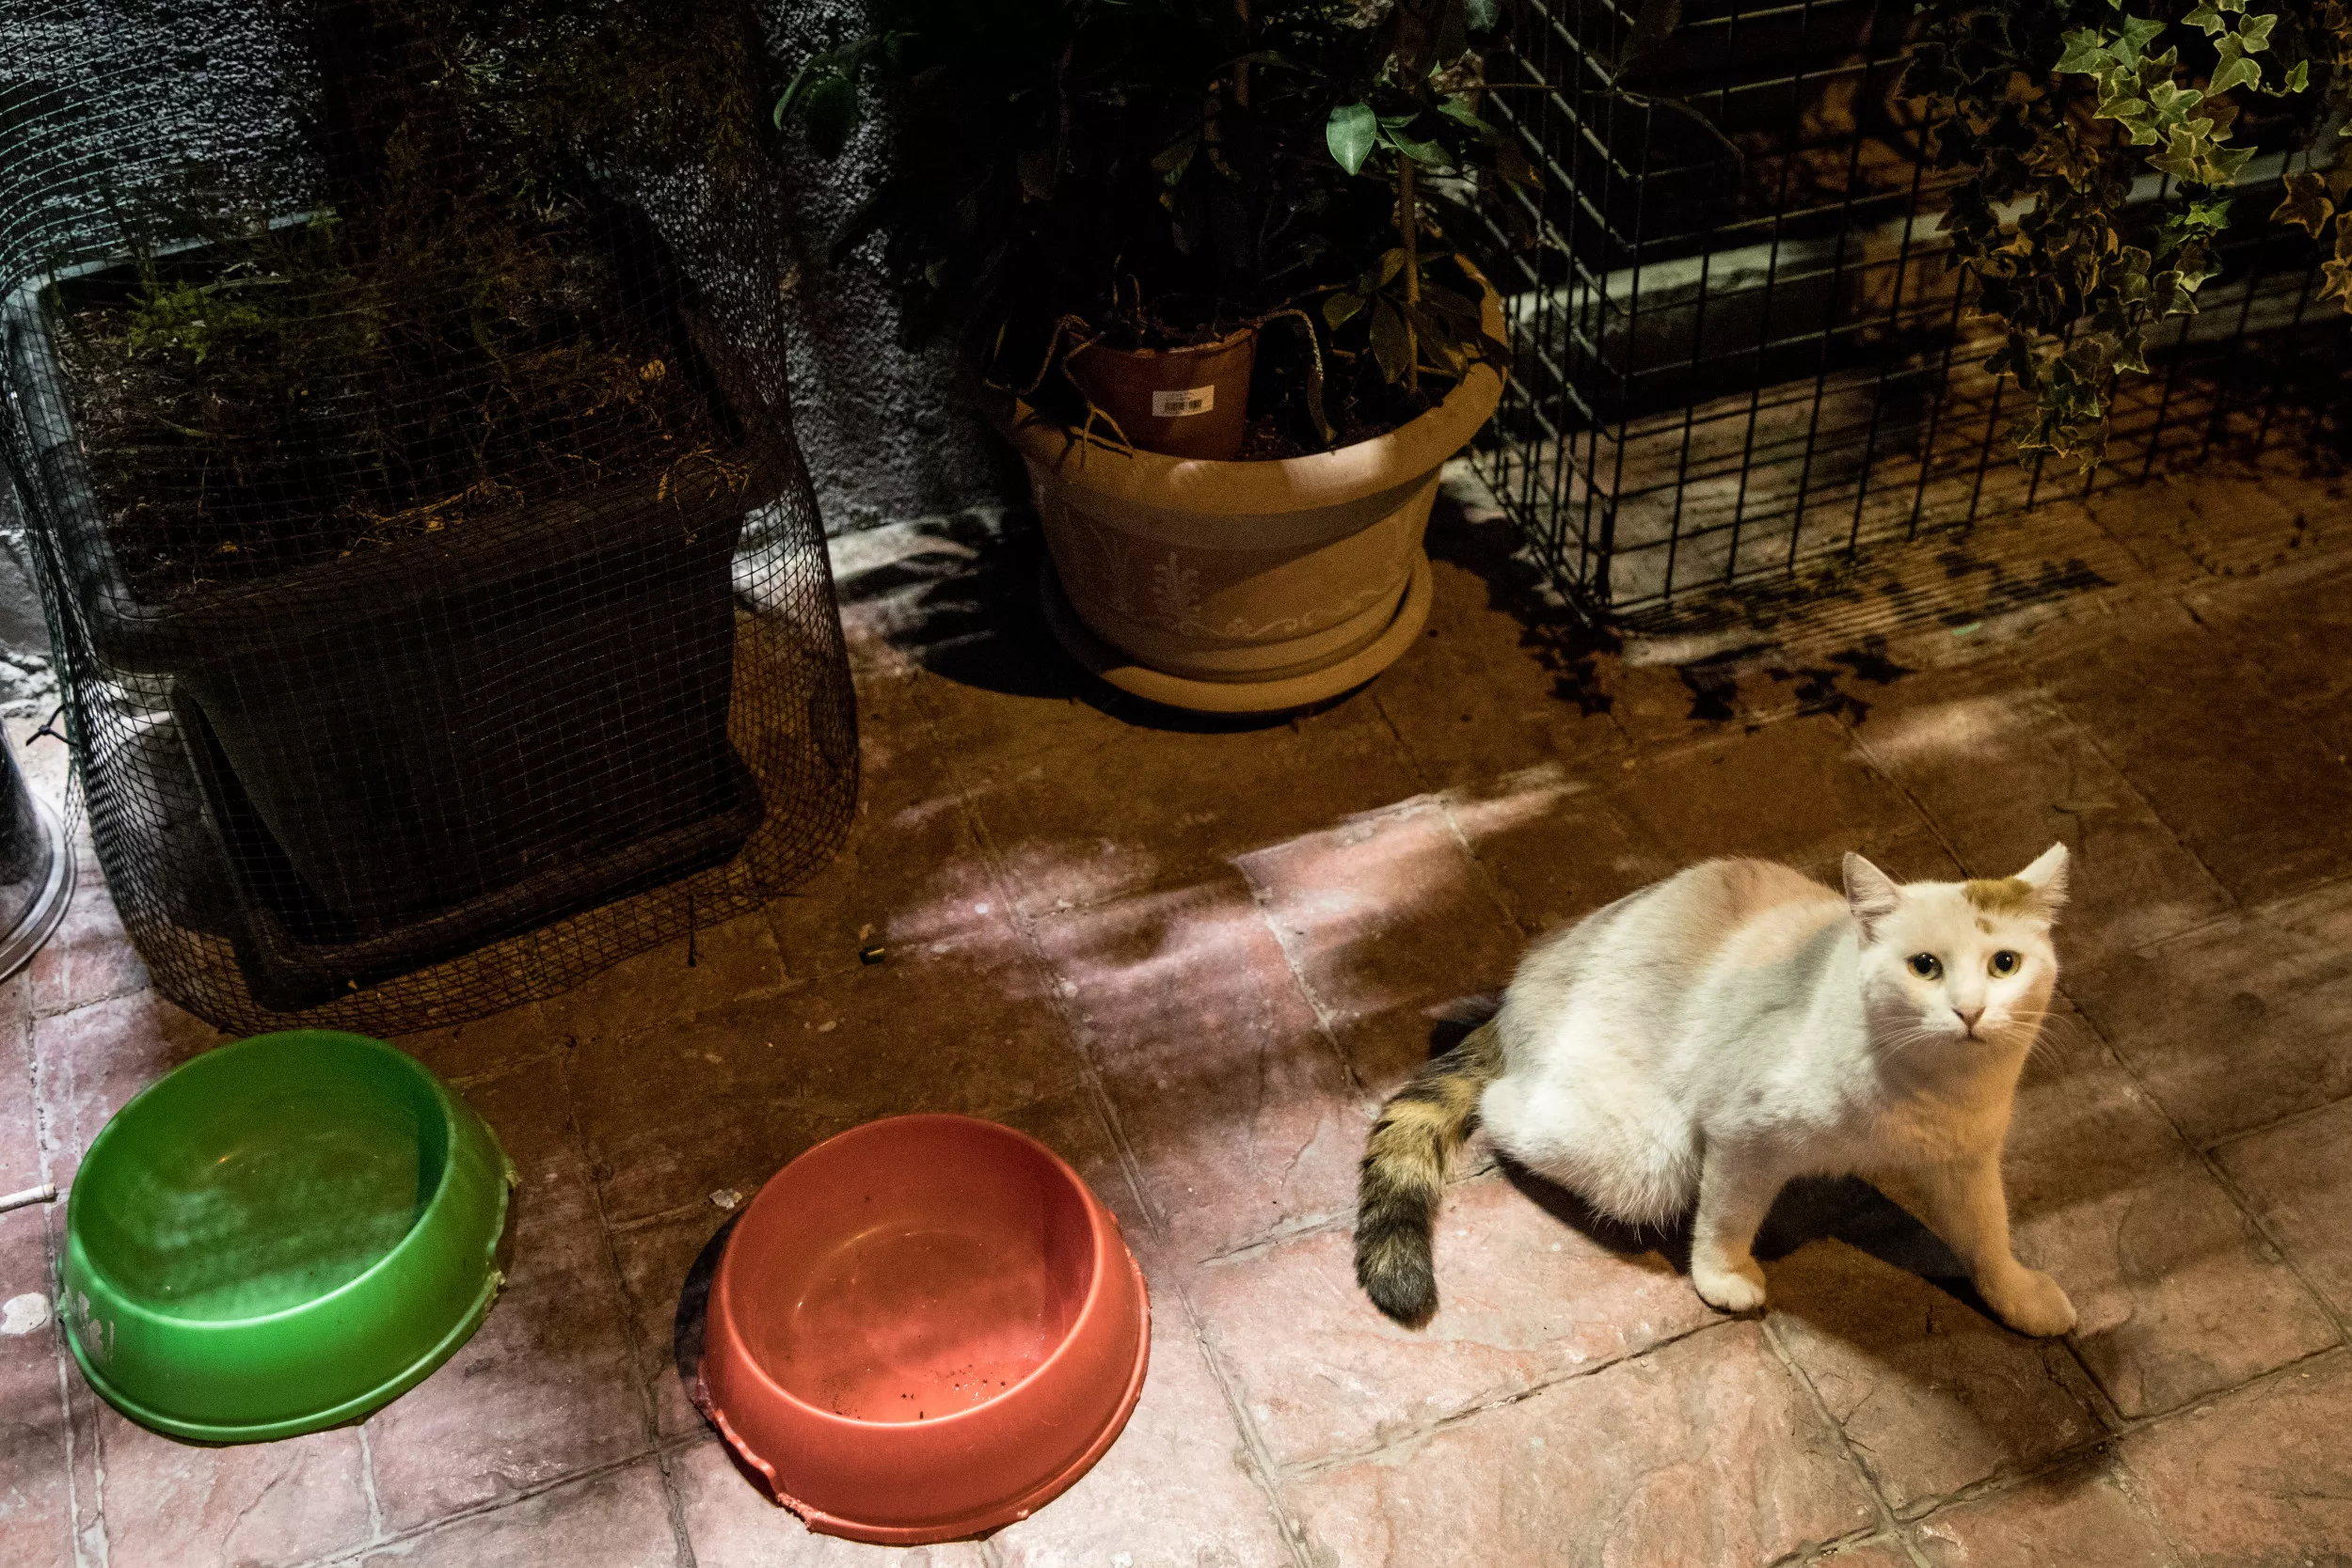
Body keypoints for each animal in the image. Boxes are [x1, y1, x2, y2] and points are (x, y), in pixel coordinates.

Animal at [1364, 846, 2079, 1335]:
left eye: (2005, 964)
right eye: (1924, 966)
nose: (1970, 1011)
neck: (1925, 1086)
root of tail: (1529, 974)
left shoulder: (1966, 1162)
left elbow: (1988, 1234)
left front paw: (2018, 1296)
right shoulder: (1744, 1135)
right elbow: (1728, 1217)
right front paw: (1724, 1277)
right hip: (1646, 1154)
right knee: (1502, 1104)